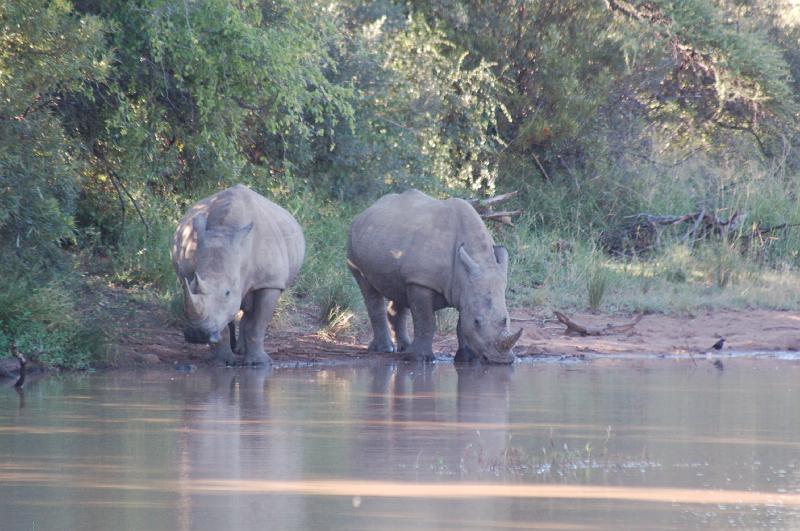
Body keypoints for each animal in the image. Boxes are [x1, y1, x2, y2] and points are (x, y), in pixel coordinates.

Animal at [171, 184, 305, 365]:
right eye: (190, 286)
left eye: (227, 292)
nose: (196, 335)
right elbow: (223, 322)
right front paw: (223, 362)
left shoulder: (270, 282)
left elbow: (258, 323)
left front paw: (259, 363)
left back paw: (241, 350)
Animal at [347, 189, 522, 364]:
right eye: (477, 322)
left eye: (506, 320)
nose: (501, 360)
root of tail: (366, 210)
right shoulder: (421, 281)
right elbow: (426, 321)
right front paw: (421, 358)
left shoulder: (466, 289)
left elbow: (462, 323)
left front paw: (467, 358)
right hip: (354, 245)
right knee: (368, 288)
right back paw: (386, 349)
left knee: (399, 290)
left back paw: (405, 348)